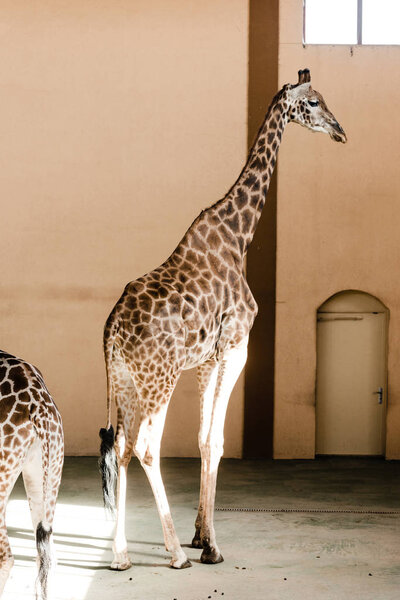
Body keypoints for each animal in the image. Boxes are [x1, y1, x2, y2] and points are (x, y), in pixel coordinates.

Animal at [99, 69, 346, 572]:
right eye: (313, 102)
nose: (339, 130)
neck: (240, 235)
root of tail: (111, 330)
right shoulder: (237, 346)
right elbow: (215, 441)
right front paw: (209, 546)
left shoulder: (206, 360)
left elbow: (201, 439)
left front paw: (201, 533)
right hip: (159, 378)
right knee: (147, 446)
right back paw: (174, 554)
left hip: (127, 381)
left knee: (123, 447)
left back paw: (122, 555)